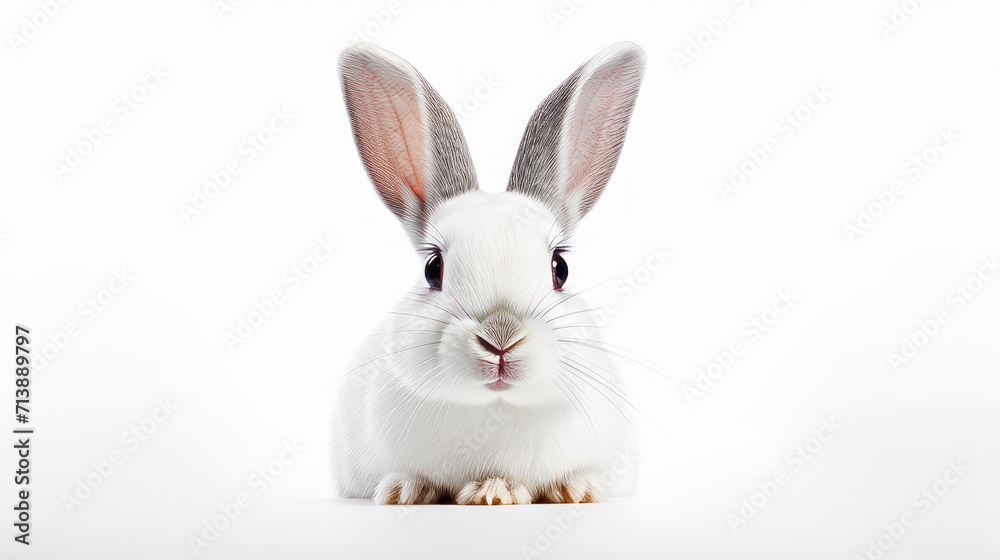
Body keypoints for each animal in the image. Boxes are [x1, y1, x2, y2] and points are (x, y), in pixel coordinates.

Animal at [332, 41, 646, 505]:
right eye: (433, 268)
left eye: (560, 267)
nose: (501, 338)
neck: (494, 410)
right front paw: (410, 489)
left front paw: (539, 490)